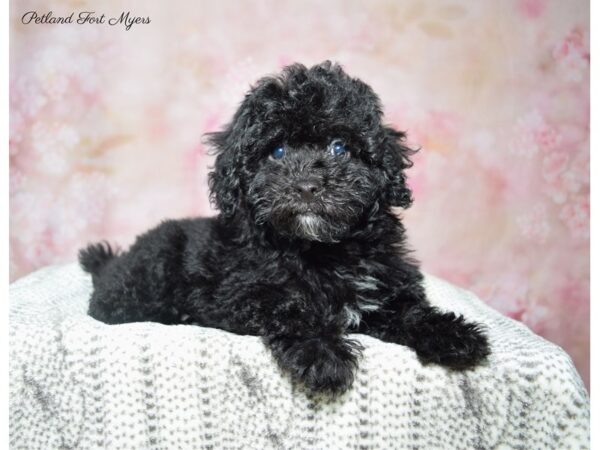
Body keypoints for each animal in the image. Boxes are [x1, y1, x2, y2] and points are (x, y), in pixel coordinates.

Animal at [82, 60, 490, 394]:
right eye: (276, 151)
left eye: (340, 147)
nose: (307, 186)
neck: (322, 251)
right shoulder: (240, 291)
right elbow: (291, 306)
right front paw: (324, 355)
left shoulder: (384, 287)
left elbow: (409, 309)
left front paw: (453, 334)